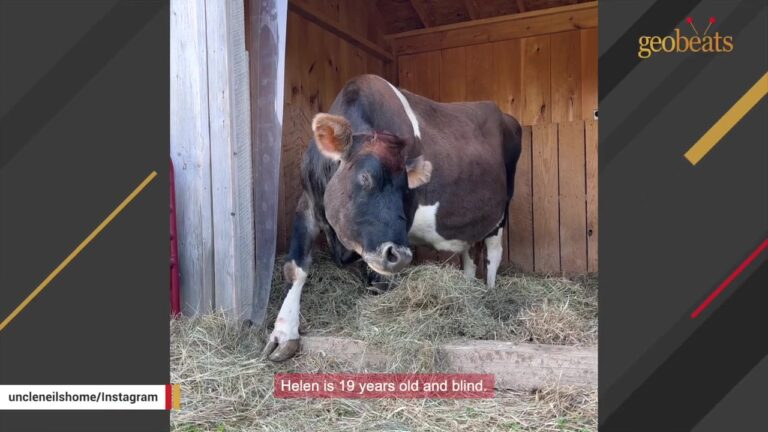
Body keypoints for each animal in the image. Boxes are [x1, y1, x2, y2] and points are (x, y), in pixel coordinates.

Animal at [262, 74, 522, 362]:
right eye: (365, 177)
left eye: (408, 189)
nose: (401, 255)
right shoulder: (308, 203)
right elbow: (295, 268)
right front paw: (283, 334)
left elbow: (380, 283)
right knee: (469, 254)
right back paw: (468, 289)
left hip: (501, 213)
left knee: (493, 254)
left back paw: (489, 294)